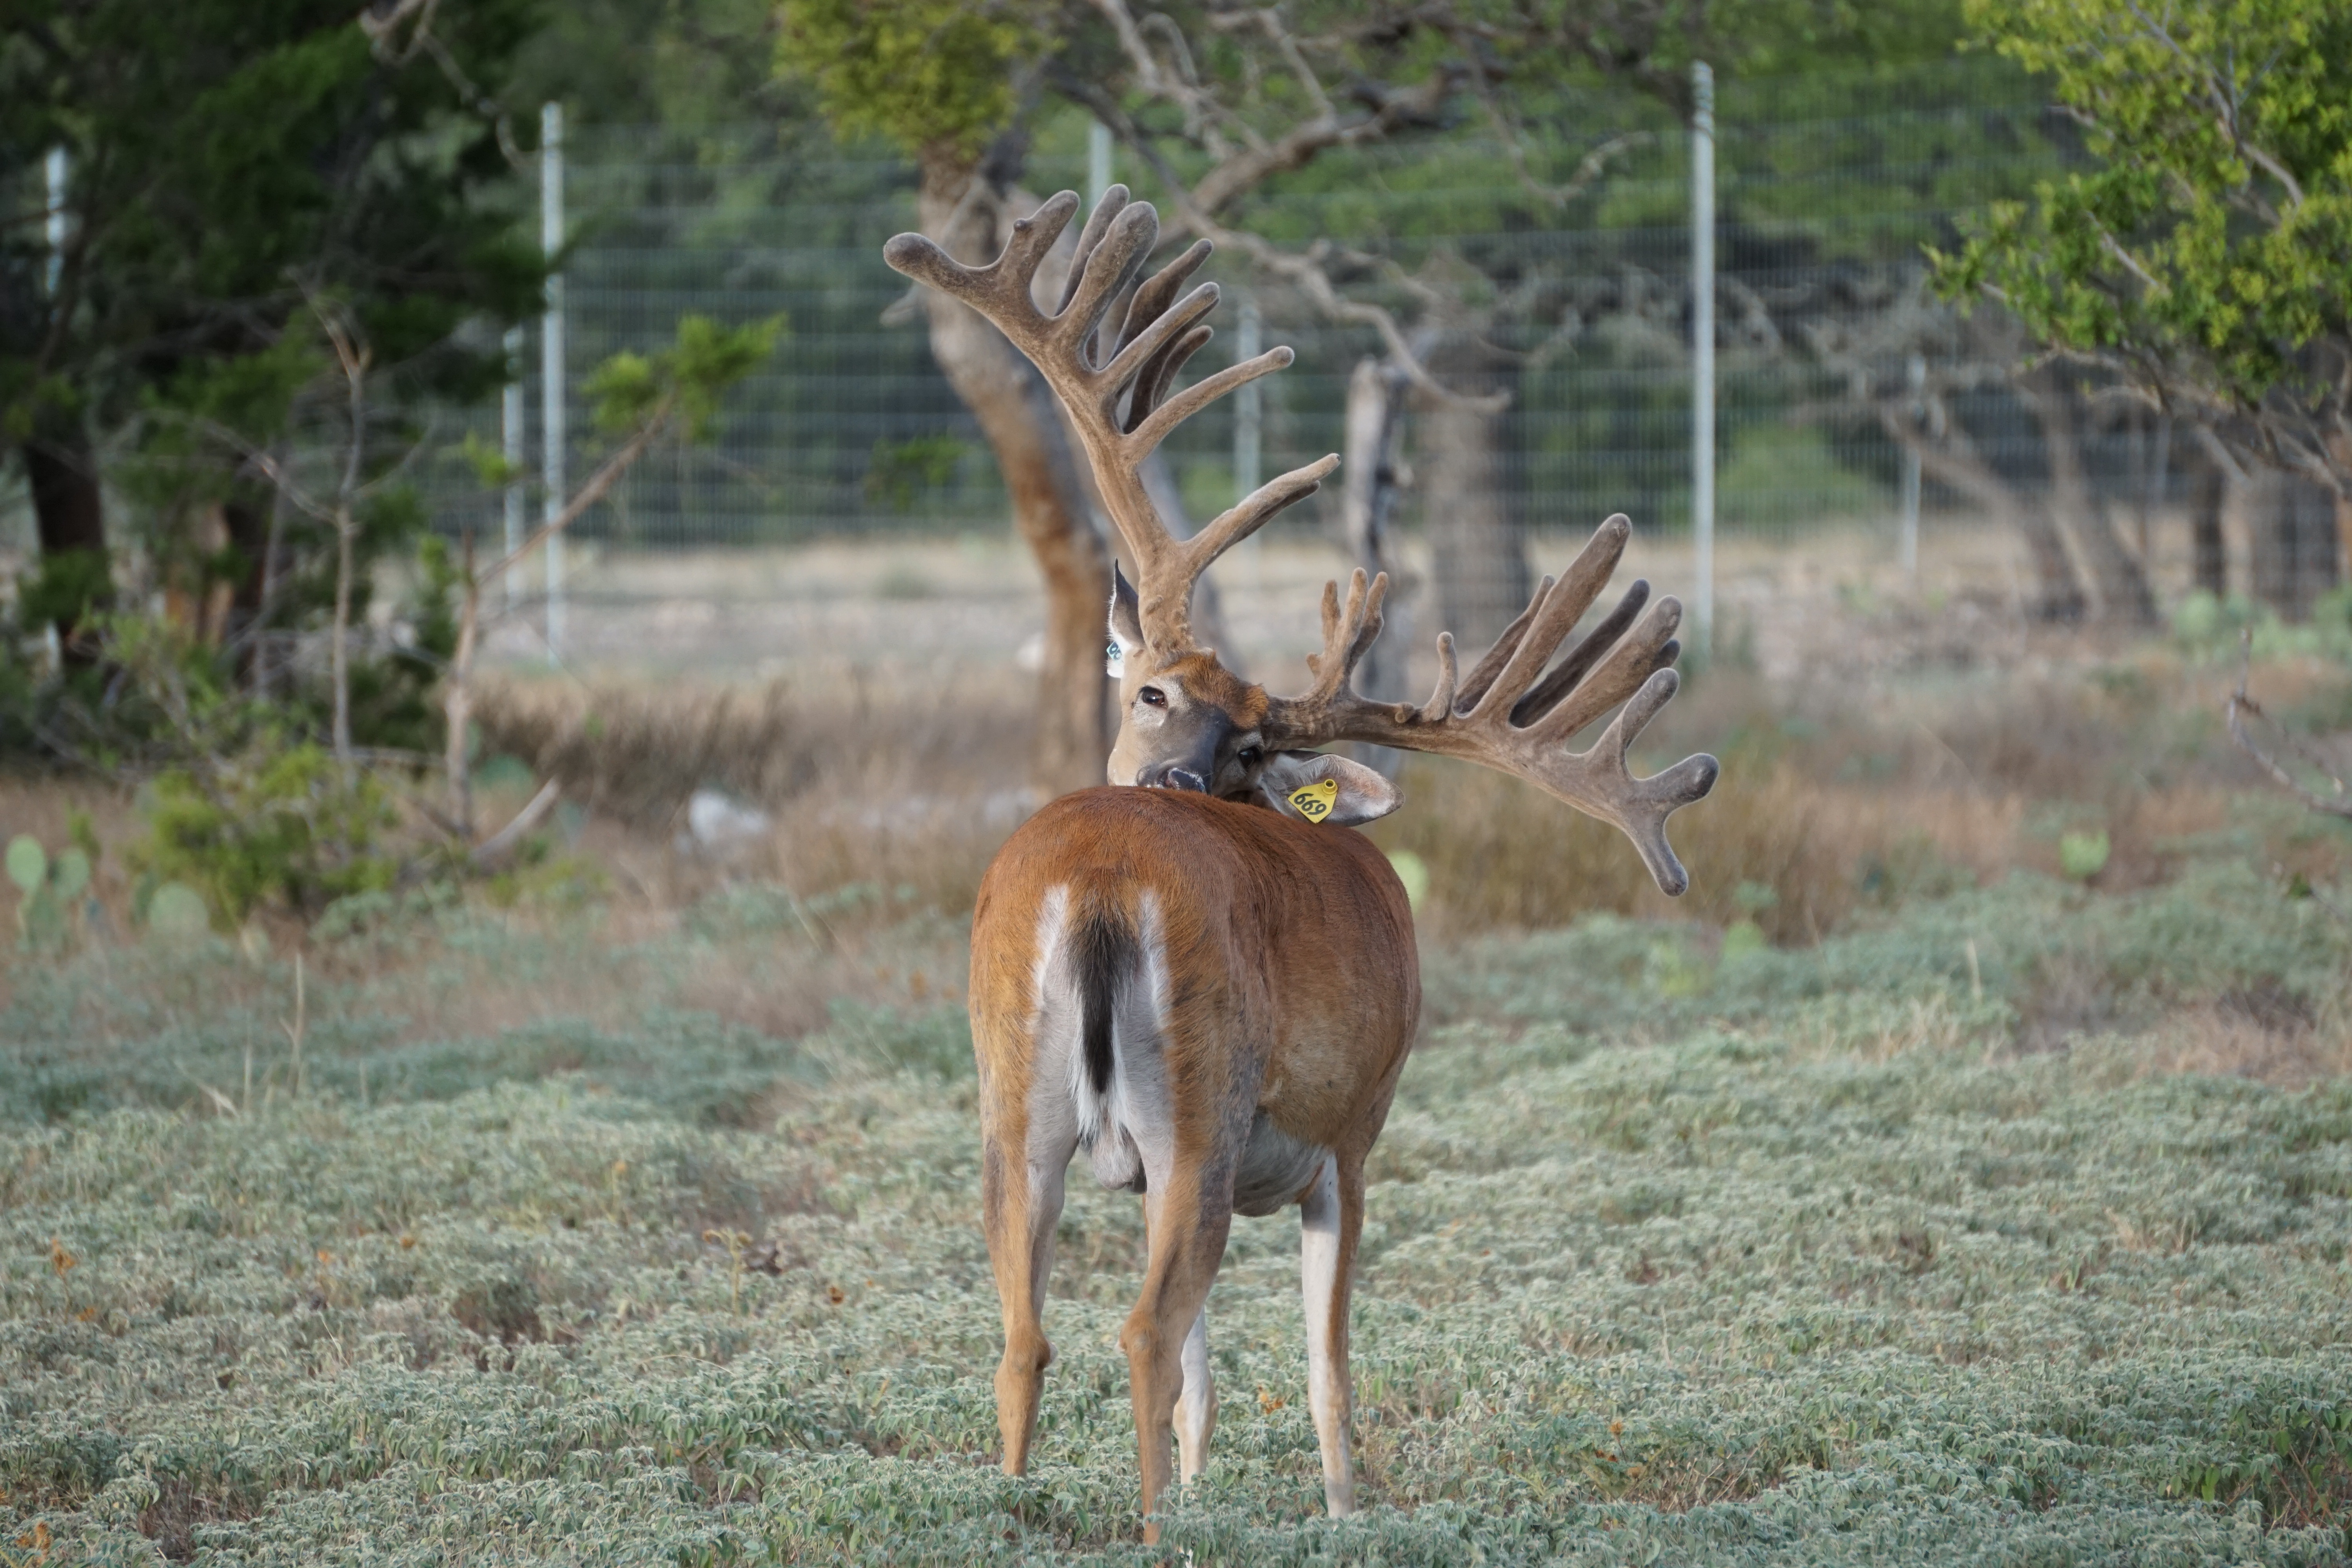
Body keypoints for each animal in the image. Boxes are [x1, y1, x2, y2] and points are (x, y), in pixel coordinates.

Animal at [889, 184, 1722, 1542]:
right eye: (1153, 693)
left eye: (1245, 739)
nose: (1178, 777)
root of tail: (1106, 875)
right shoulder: (1350, 1134)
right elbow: (1325, 1363)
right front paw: (1344, 1507)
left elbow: (1209, 1378)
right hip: (1209, 1103)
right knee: (1141, 1332)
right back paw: (1162, 1540)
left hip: (1013, 1099)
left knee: (1027, 1337)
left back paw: (1017, 1509)